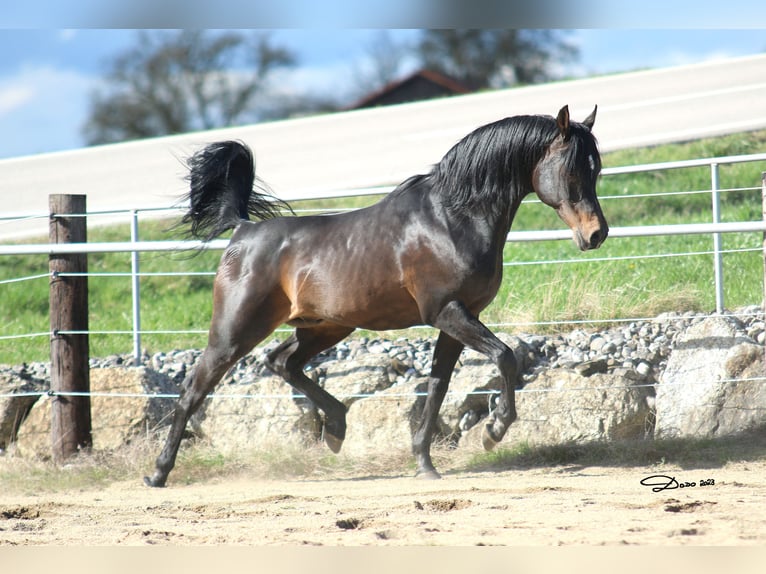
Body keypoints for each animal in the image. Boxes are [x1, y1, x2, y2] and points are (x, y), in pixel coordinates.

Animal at [144, 106, 612, 488]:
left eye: (597, 170)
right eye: (572, 172)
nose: (596, 235)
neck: (450, 219)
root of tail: (243, 229)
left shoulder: (456, 321)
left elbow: (437, 388)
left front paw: (424, 463)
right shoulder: (448, 312)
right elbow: (505, 356)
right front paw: (494, 431)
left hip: (325, 327)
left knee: (282, 362)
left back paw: (336, 428)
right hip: (235, 332)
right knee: (194, 388)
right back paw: (158, 473)